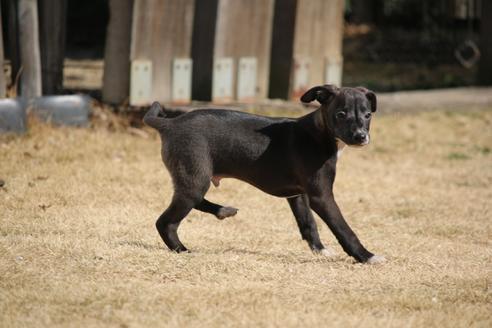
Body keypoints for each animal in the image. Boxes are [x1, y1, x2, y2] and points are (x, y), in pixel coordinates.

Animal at [144, 84, 386, 264]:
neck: (319, 134)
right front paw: (366, 256)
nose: (361, 137)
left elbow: (308, 222)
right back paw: (182, 249)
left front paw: (319, 249)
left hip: (192, 178)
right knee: (165, 222)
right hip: (195, 177)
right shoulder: (321, 196)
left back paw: (223, 211)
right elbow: (343, 228)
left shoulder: (299, 194)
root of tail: (170, 123)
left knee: (192, 202)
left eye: (367, 115)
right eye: (341, 114)